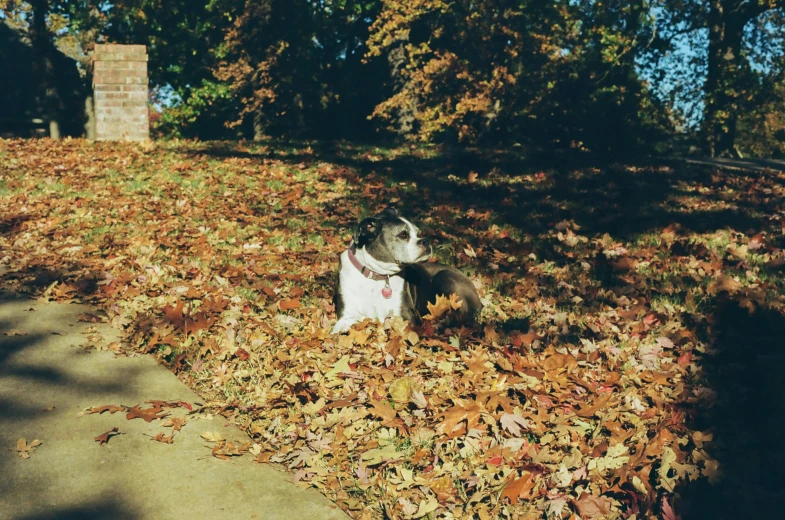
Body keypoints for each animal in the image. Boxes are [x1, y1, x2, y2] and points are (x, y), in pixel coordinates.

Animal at [330, 207, 480, 334]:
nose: (425, 241)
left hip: (445, 277)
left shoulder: (403, 315)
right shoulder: (346, 316)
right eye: (403, 234)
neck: (376, 275)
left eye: (418, 233)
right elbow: (336, 333)